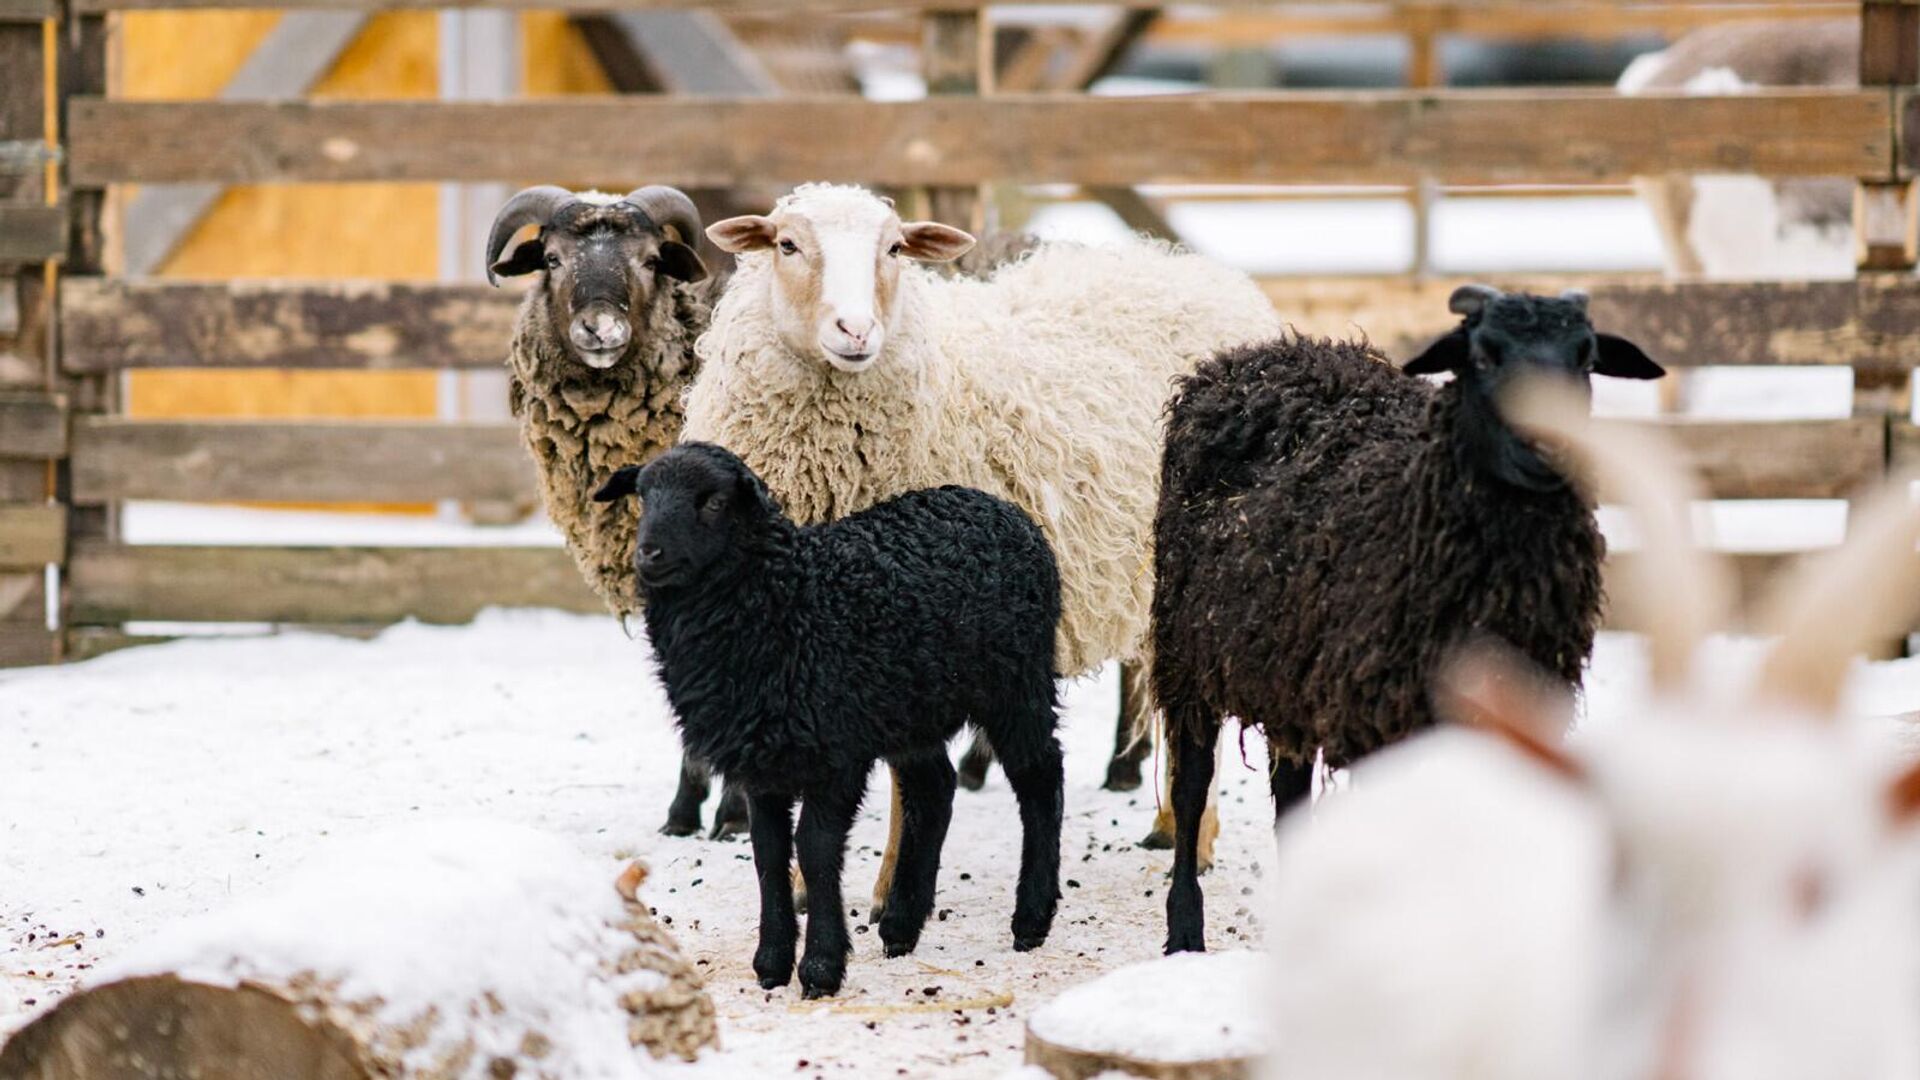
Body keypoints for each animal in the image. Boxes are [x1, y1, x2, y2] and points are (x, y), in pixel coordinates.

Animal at [591, 441, 1067, 999]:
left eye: (713, 502)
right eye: (643, 496)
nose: (649, 555)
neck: (787, 606)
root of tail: (1002, 508)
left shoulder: (835, 753)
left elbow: (816, 851)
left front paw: (819, 968)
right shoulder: (760, 762)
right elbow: (769, 853)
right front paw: (772, 965)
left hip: (1017, 682)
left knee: (1039, 778)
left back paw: (1030, 920)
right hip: (911, 705)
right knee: (934, 789)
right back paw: (901, 927)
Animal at [691, 184, 1290, 907]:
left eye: (895, 249)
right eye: (786, 245)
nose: (856, 332)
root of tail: (1201, 273)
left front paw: (890, 891)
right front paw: (807, 891)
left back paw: (1195, 841)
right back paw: (1170, 824)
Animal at [1152, 284, 1666, 949]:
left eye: (1587, 356)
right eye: (1484, 355)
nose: (1550, 444)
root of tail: (1263, 352)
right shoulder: (1382, 720)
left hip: (1289, 666)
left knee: (1289, 795)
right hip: (1188, 656)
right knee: (1191, 789)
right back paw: (1184, 932)